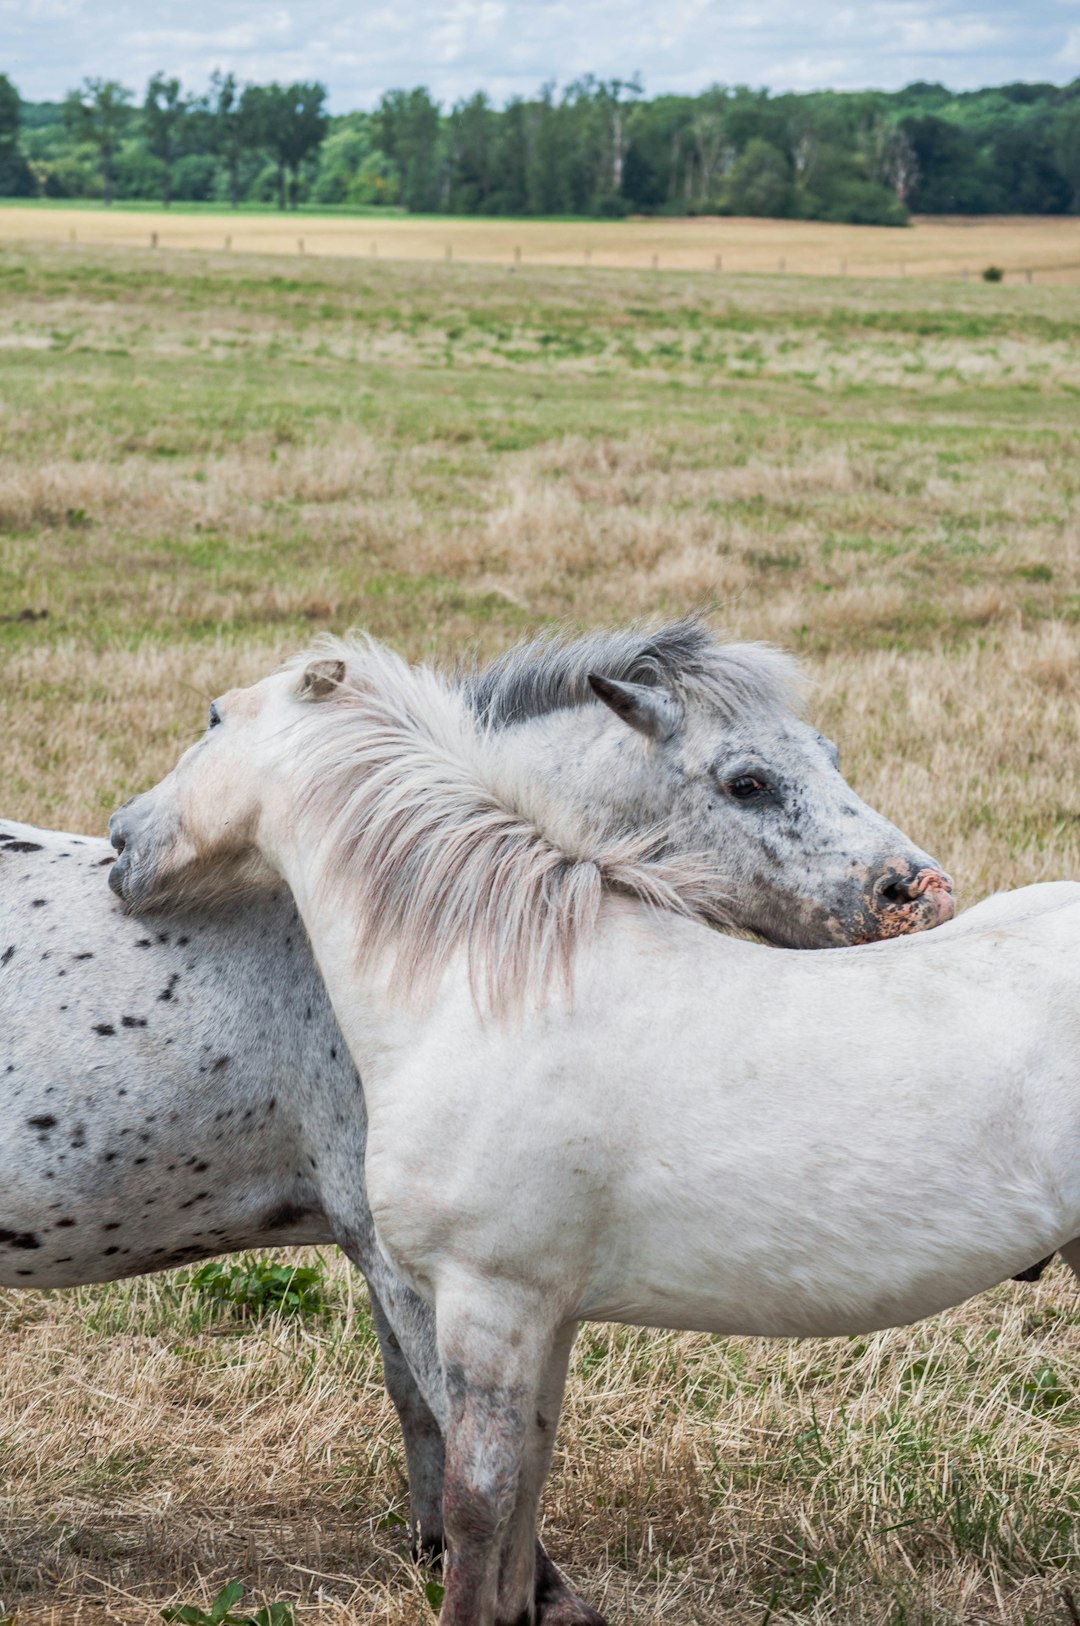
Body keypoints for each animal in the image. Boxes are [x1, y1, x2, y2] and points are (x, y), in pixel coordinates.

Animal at [111, 637, 1080, 1626]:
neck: (481, 983)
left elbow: (478, 1504)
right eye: (752, 781)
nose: (122, 842)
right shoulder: (546, 1316)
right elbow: (521, 1504)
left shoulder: (487, 1301)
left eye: (215, 718)